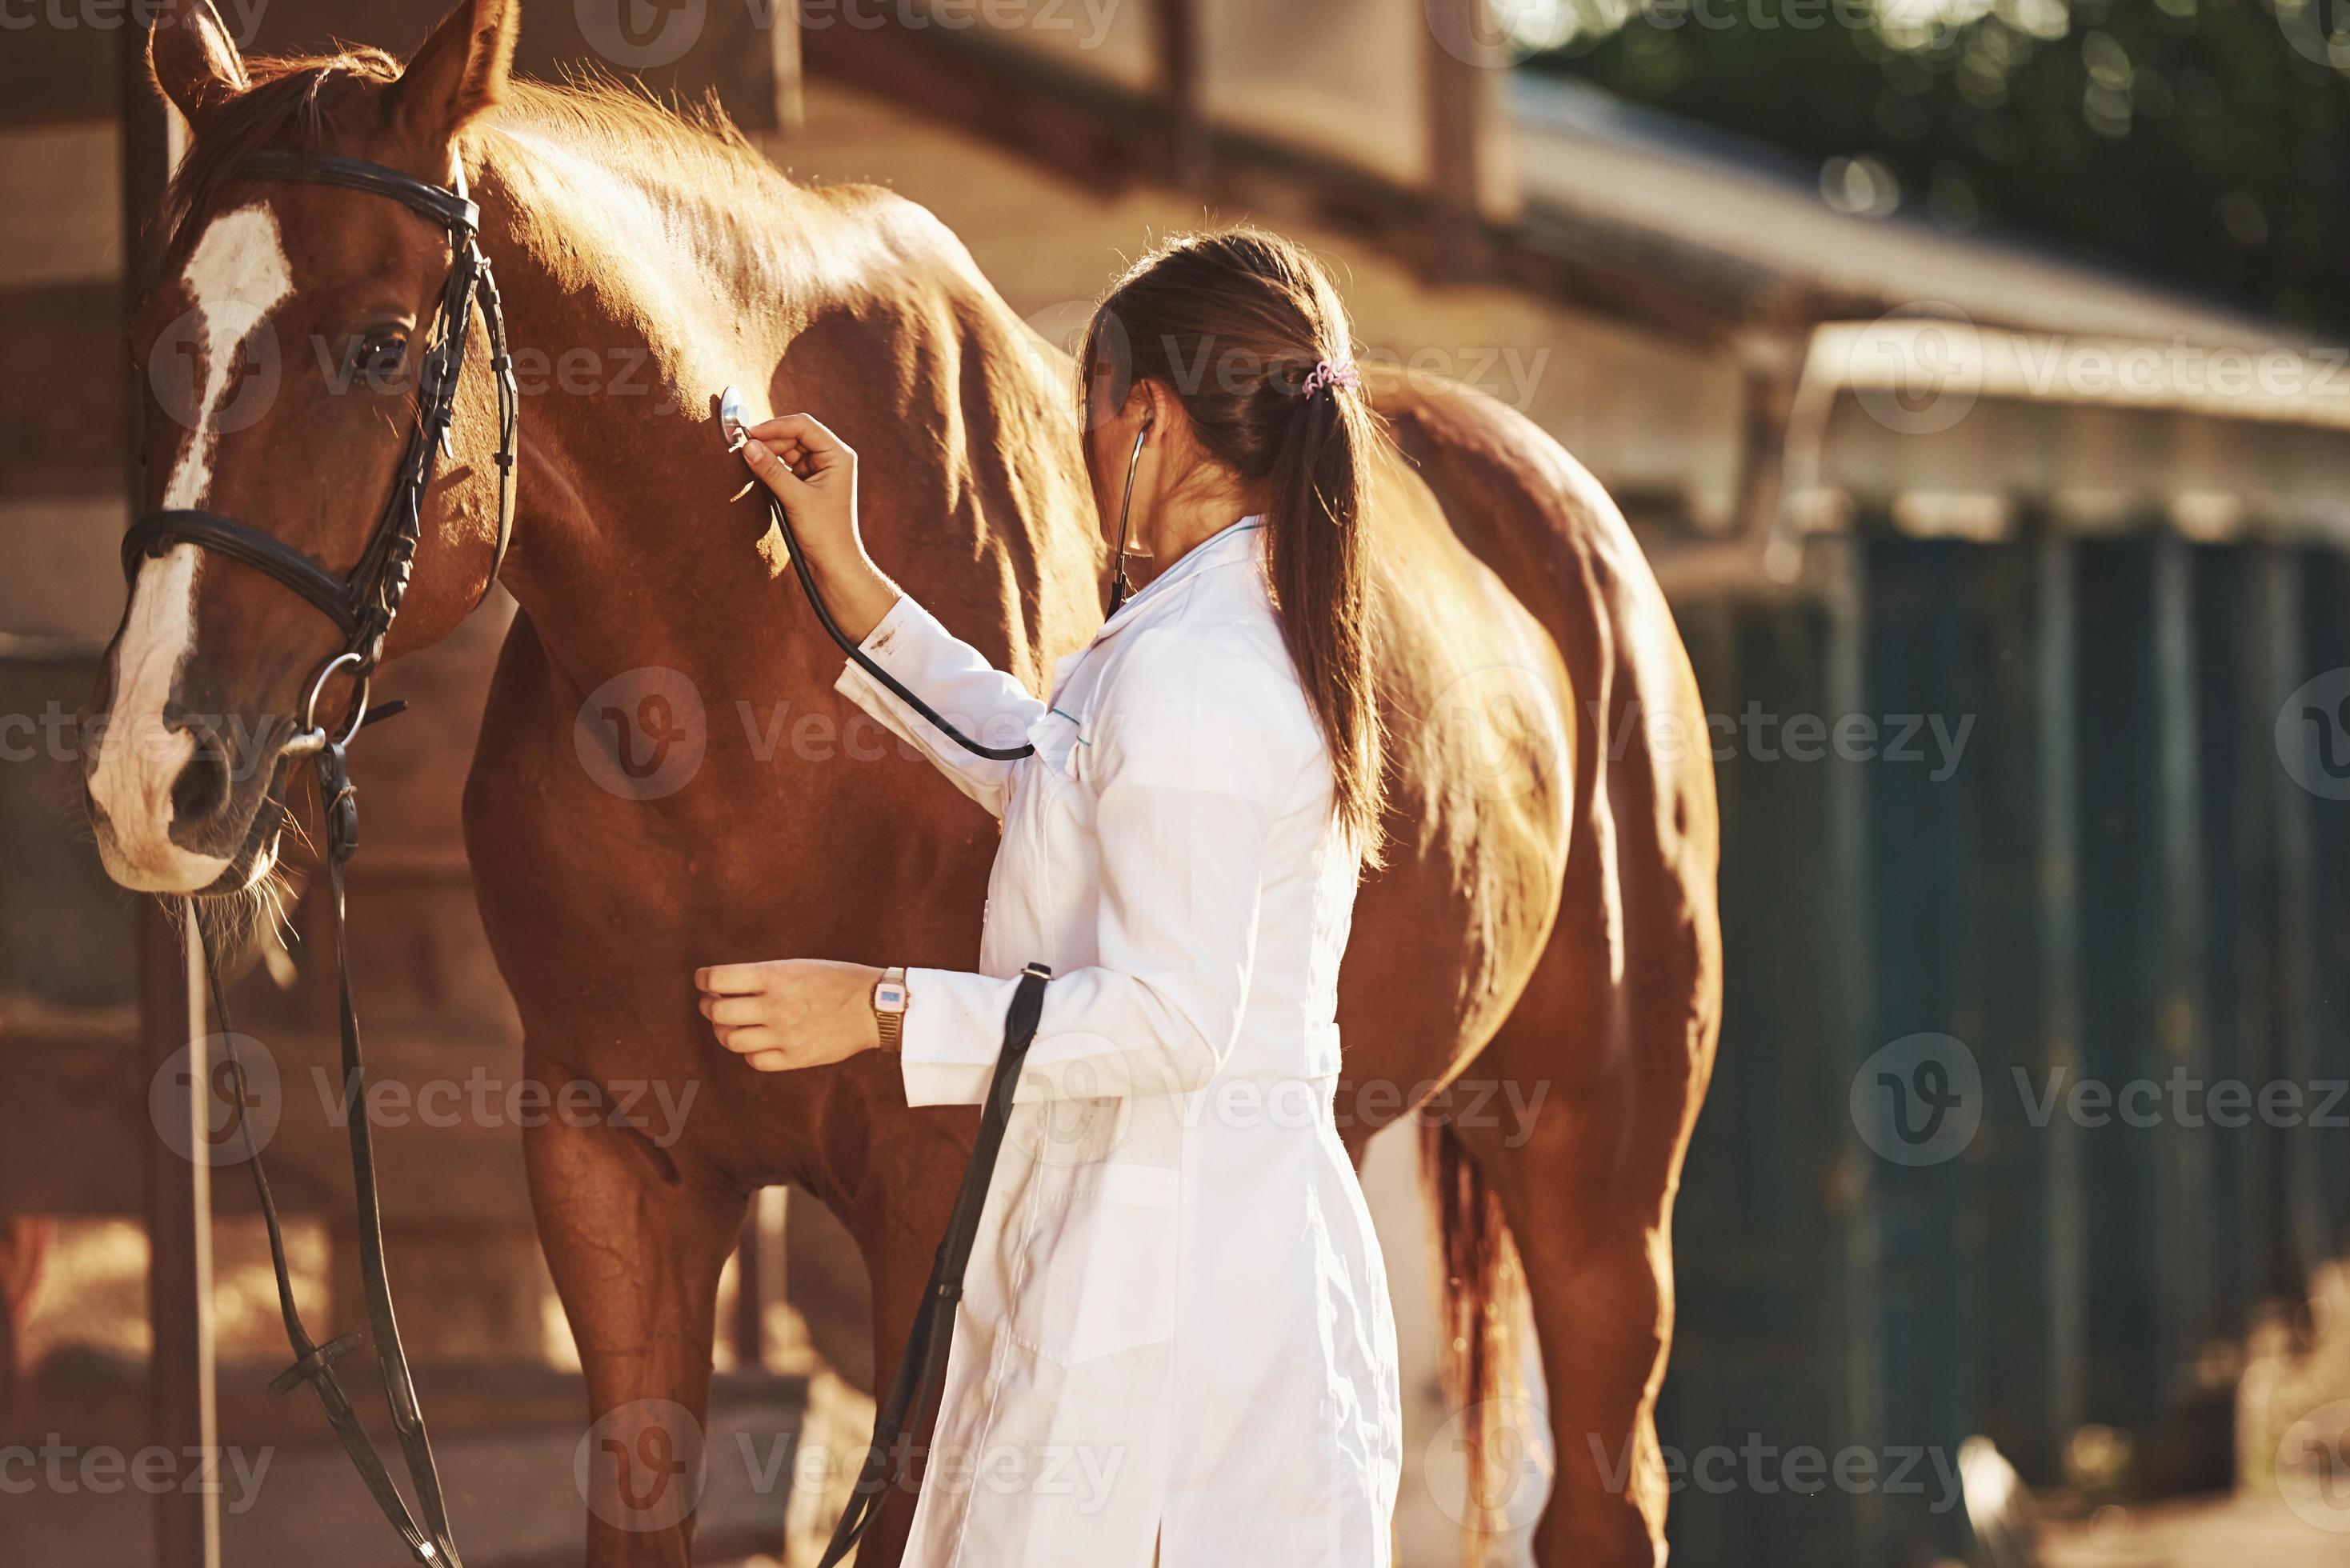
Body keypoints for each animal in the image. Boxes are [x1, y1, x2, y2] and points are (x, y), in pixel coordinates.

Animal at [83, 2, 1721, 1562]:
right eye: (155, 334)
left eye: (376, 345)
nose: (155, 778)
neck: (737, 701)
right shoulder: (614, 1176)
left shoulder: (941, 1200)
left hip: (1599, 1189)